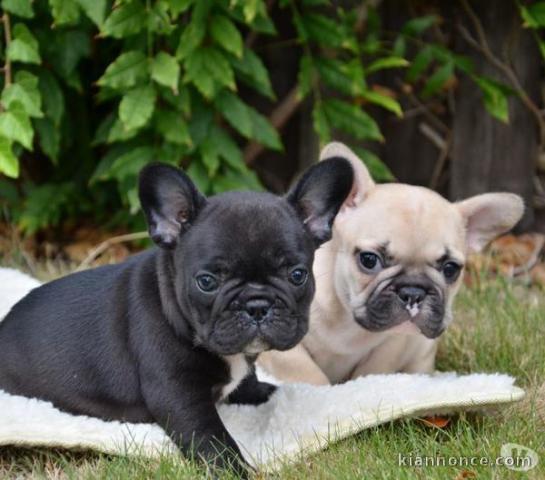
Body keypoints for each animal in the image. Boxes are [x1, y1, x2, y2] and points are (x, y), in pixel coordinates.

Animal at [0, 159, 352, 474]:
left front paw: (263, 390)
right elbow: (211, 436)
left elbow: (247, 379)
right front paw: (233, 469)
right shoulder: (178, 393)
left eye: (297, 275)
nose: (256, 305)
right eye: (206, 281)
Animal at [260, 141, 524, 384]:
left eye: (450, 269)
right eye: (369, 260)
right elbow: (307, 374)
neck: (348, 321)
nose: (413, 292)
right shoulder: (283, 345)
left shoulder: (394, 343)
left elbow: (373, 371)